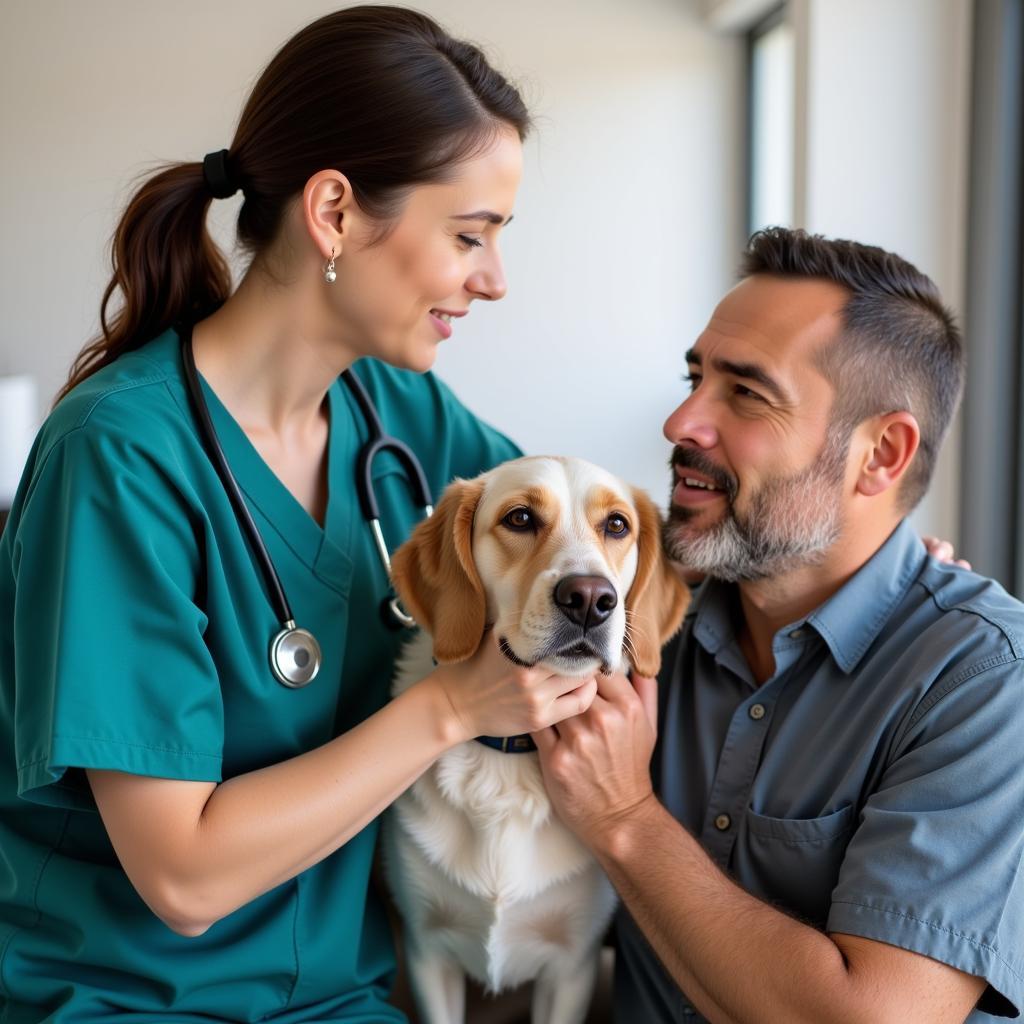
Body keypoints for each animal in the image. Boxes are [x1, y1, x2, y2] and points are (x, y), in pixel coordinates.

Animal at [385, 456, 688, 1024]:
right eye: (520, 518)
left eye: (617, 525)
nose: (590, 599)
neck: (509, 761)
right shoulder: (427, 955)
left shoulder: (572, 965)